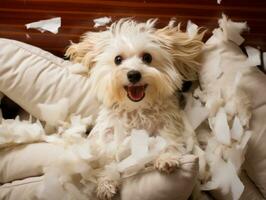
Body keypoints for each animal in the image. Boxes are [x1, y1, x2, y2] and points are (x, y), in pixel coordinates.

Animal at [66, 18, 204, 198]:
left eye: (147, 57)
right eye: (118, 59)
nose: (133, 74)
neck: (137, 109)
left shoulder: (168, 123)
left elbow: (168, 140)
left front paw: (166, 158)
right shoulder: (108, 134)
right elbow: (107, 158)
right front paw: (106, 182)